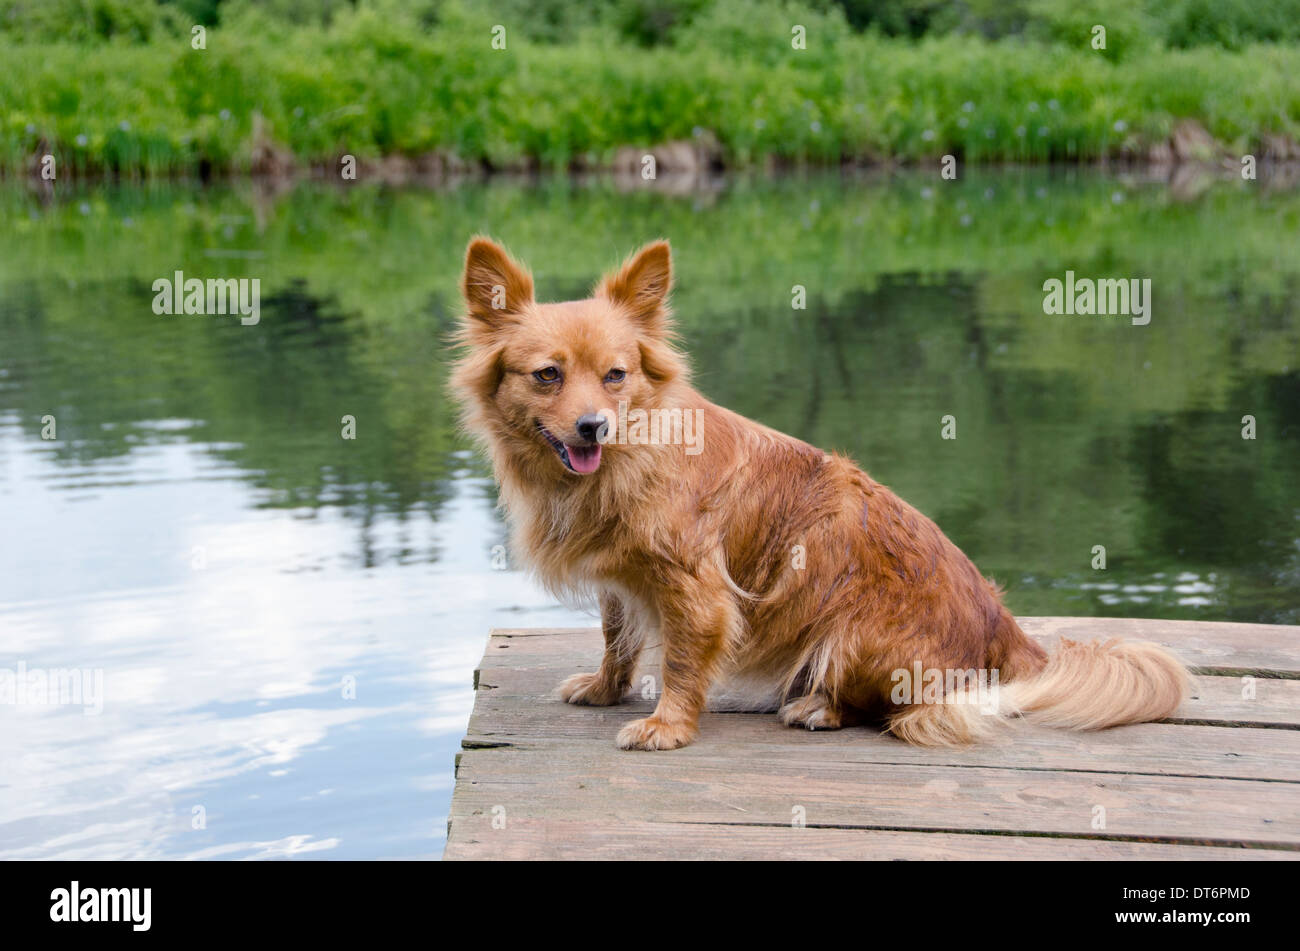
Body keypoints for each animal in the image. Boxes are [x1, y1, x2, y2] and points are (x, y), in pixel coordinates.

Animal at [449, 237, 1190, 748]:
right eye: (547, 375)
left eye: (616, 375)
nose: (592, 425)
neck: (629, 455)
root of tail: (1005, 629)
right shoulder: (623, 579)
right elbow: (616, 637)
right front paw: (606, 690)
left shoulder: (696, 588)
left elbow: (684, 658)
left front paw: (668, 726)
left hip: (851, 632)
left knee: (901, 708)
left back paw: (818, 707)